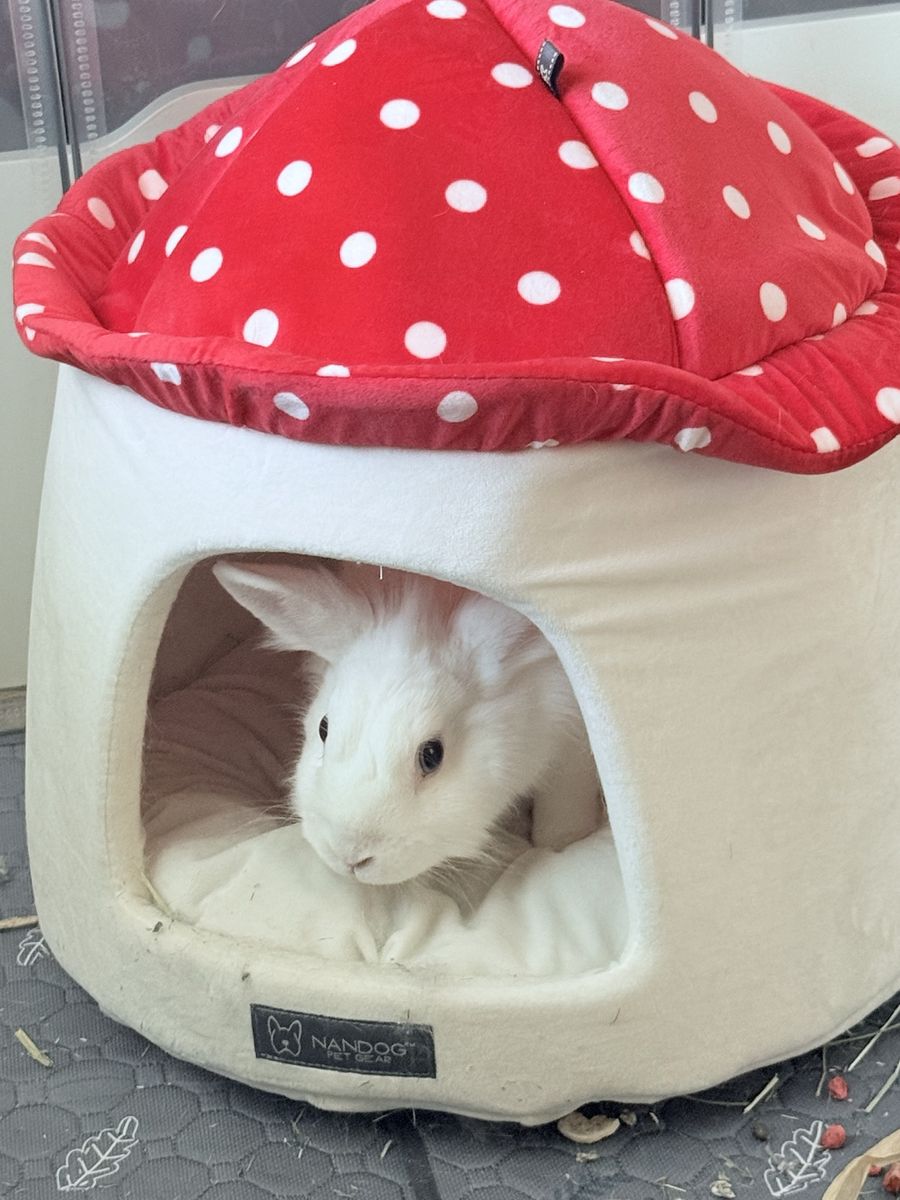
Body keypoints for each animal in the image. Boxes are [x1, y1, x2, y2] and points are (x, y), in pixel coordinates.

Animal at [212, 560, 602, 886]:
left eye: (432, 755)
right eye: (323, 728)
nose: (350, 857)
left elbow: (565, 804)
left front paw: (560, 842)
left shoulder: (573, 748)